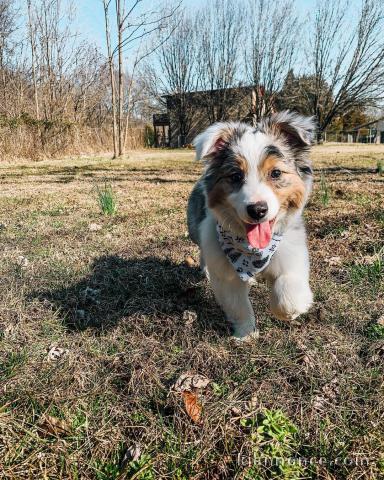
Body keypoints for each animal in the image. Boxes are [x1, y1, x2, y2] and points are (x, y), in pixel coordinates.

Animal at [188, 111, 316, 340]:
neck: (252, 251)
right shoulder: (226, 272)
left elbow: (287, 286)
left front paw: (289, 311)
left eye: (276, 173)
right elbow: (238, 305)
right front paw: (246, 333)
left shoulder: (291, 251)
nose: (258, 210)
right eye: (236, 176)